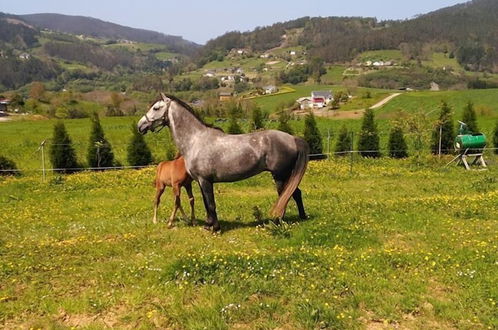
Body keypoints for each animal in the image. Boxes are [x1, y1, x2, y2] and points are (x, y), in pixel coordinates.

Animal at [136, 93, 308, 232]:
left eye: (156, 108)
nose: (140, 126)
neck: (195, 139)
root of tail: (292, 138)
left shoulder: (205, 180)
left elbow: (211, 204)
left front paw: (216, 228)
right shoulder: (201, 181)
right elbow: (206, 203)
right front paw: (208, 225)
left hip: (280, 175)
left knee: (285, 195)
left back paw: (278, 221)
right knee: (295, 193)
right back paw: (302, 217)